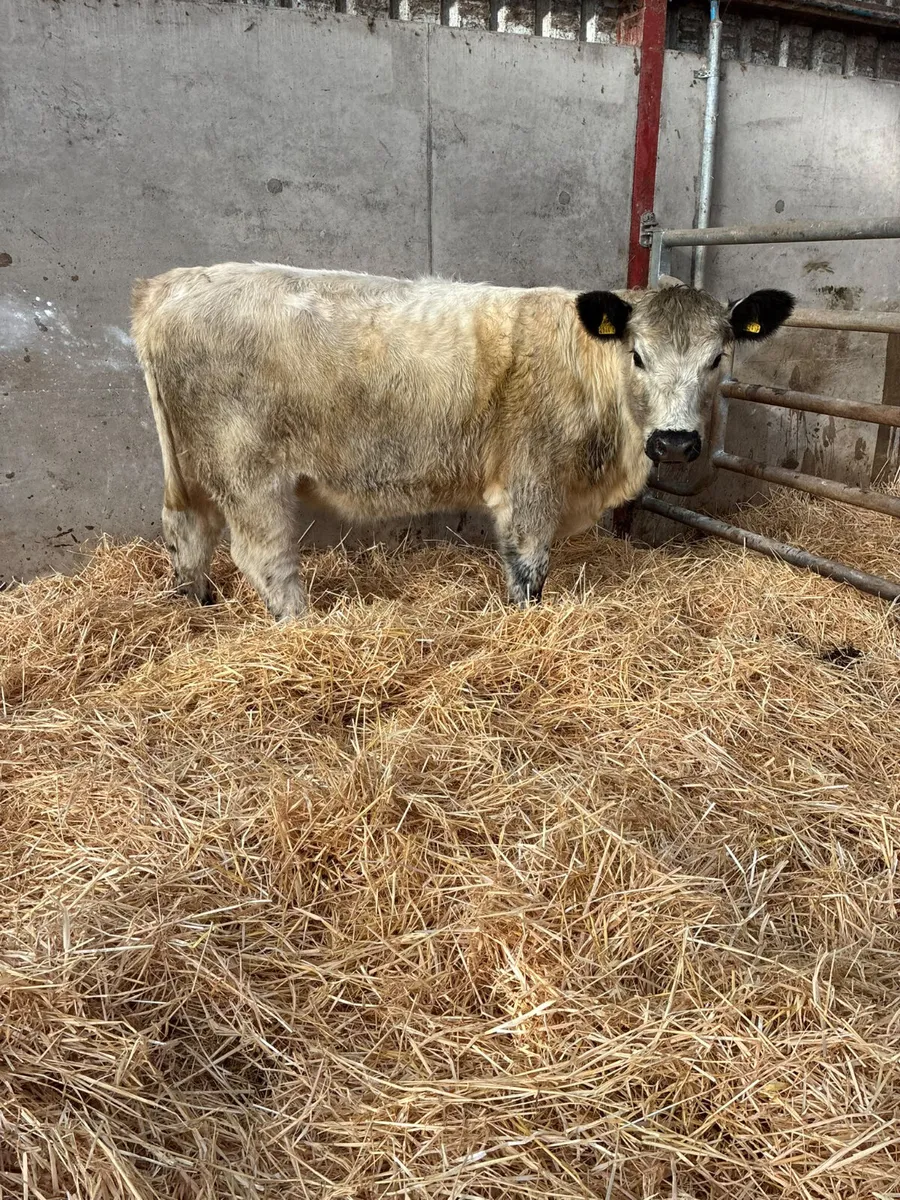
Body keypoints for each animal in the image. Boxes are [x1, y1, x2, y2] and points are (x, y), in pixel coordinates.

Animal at [130, 264, 793, 620]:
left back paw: (196, 609)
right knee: (265, 559)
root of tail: (170, 285)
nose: (676, 443)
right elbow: (528, 567)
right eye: (638, 355)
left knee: (187, 534)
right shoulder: (531, 481)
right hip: (250, 475)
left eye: (717, 358)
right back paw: (303, 628)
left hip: (189, 468)